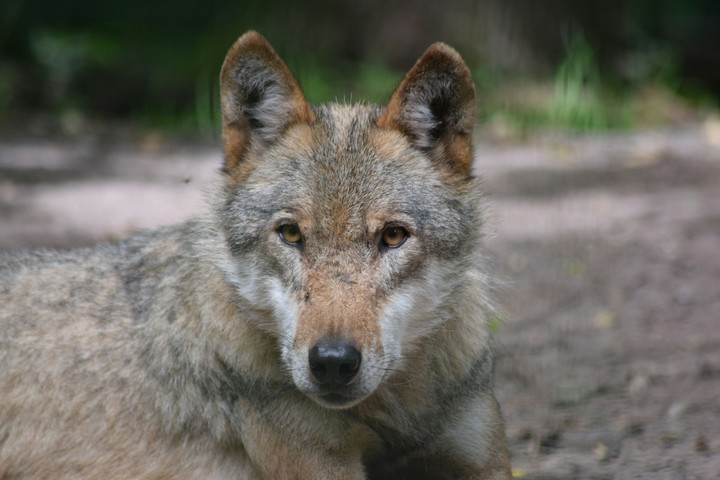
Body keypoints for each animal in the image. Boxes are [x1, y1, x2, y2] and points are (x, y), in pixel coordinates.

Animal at [0, 31, 511, 479]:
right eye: (290, 234)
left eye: (392, 236)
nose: (332, 362)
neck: (398, 410)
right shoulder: (318, 461)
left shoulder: (481, 458)